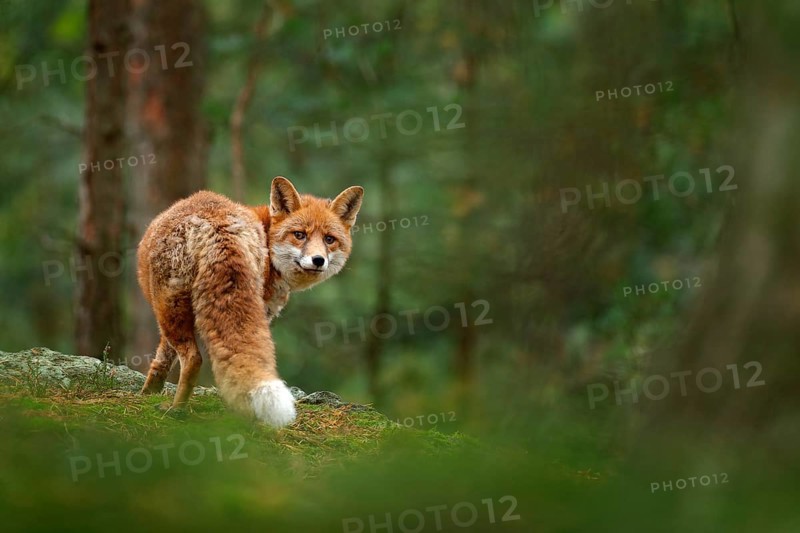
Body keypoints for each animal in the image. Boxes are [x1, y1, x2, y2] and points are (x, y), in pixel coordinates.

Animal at [136, 176, 364, 427]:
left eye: (329, 239)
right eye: (299, 235)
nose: (318, 260)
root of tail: (218, 226)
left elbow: (162, 358)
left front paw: (147, 393)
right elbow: (163, 358)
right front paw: (148, 392)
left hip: (168, 307)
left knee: (193, 359)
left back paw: (177, 409)